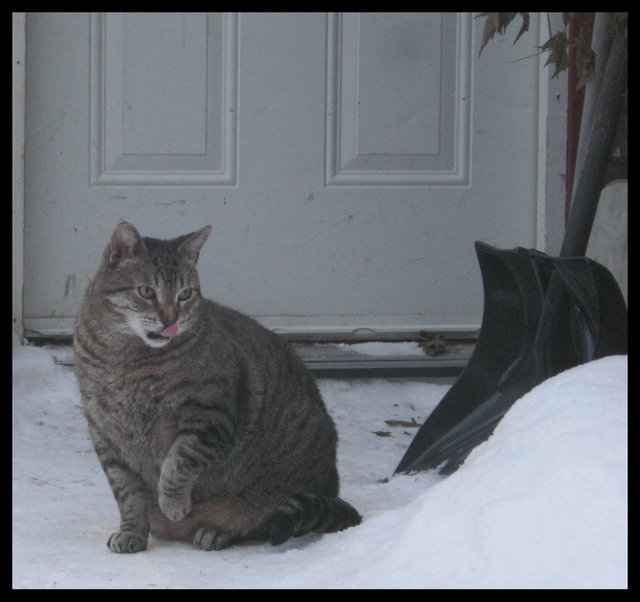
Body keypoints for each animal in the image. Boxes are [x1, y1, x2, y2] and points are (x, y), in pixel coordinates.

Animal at [73, 220, 362, 548]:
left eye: (185, 294)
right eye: (146, 291)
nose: (171, 321)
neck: (125, 358)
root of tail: (332, 491)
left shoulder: (210, 415)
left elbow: (178, 462)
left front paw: (172, 503)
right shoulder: (104, 433)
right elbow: (127, 493)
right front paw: (131, 533)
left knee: (262, 523)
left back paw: (216, 531)